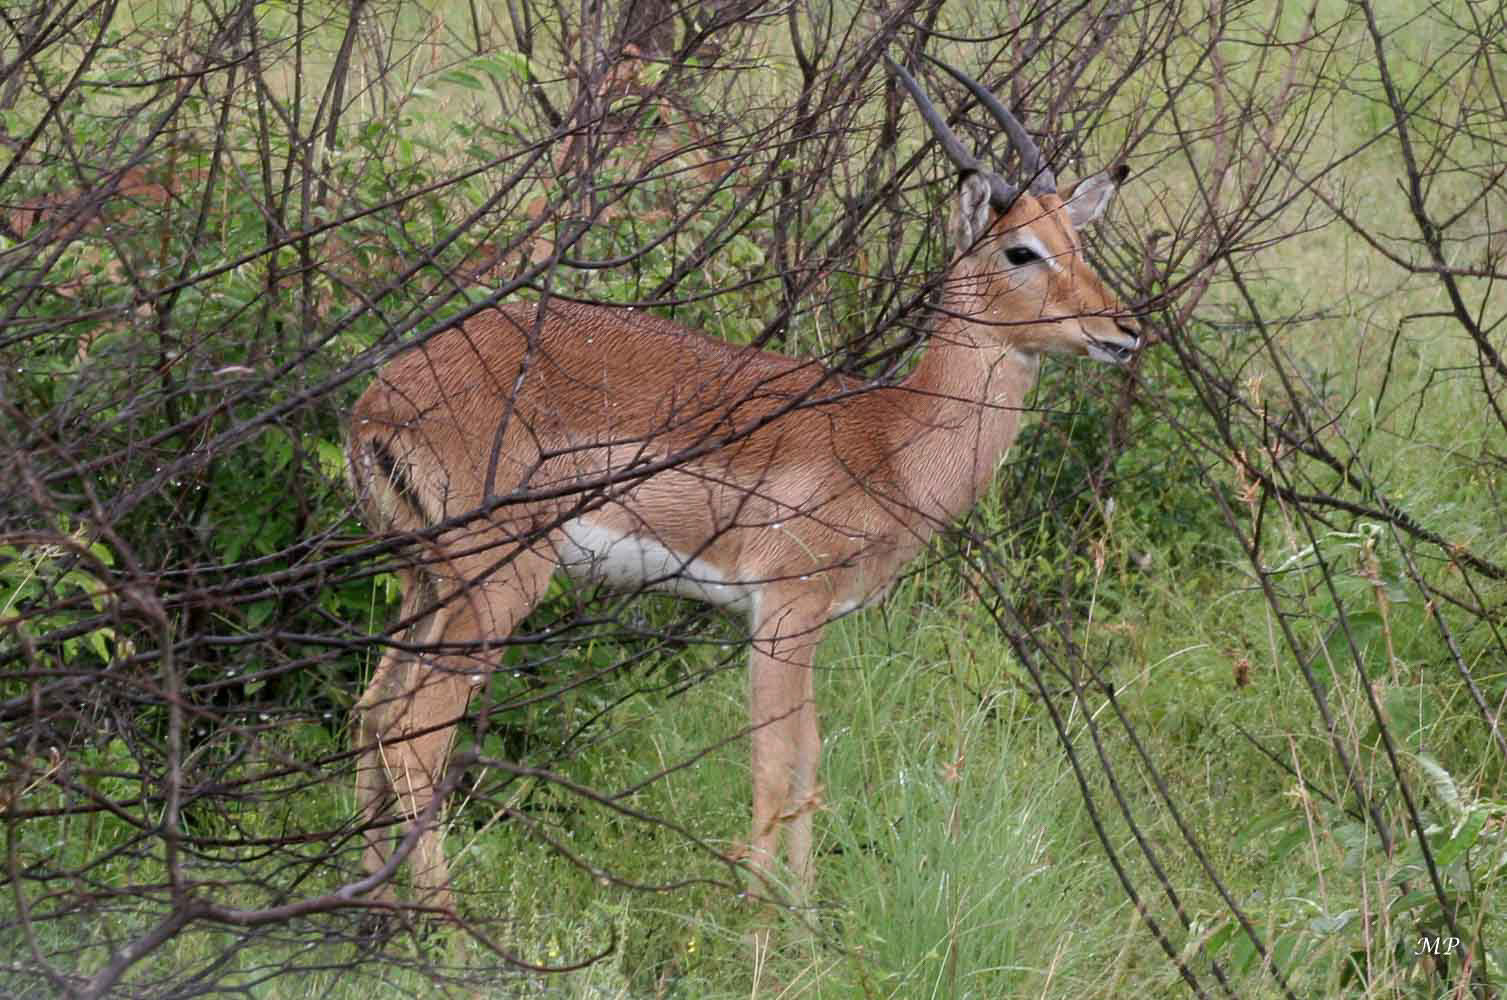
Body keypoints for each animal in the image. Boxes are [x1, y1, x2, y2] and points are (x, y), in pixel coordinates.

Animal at [346, 54, 1141, 910]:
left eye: (1077, 238)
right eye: (1021, 250)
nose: (1124, 330)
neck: (892, 438)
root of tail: (379, 399)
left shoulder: (812, 621)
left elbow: (810, 759)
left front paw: (806, 917)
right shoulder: (781, 612)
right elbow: (773, 764)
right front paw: (763, 920)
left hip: (424, 582)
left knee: (372, 712)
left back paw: (371, 910)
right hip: (497, 585)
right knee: (415, 730)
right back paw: (445, 922)